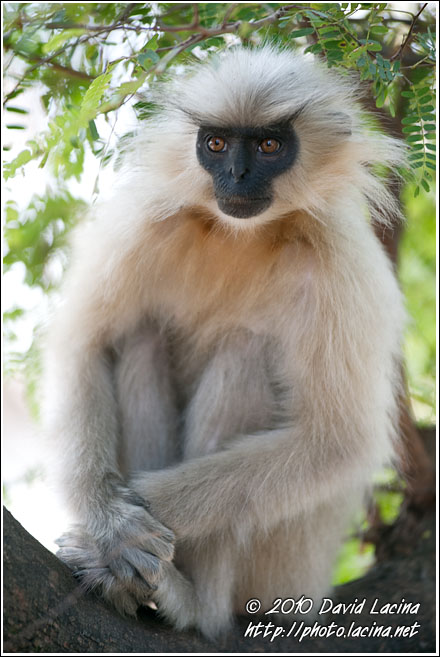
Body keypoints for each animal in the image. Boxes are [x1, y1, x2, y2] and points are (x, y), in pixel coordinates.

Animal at [44, 47, 406, 640]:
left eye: (268, 146)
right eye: (215, 144)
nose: (236, 174)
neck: (245, 235)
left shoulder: (339, 258)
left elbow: (338, 443)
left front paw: (118, 533)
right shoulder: (147, 217)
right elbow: (85, 344)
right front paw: (114, 524)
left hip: (285, 575)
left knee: (245, 354)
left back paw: (189, 603)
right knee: (140, 337)